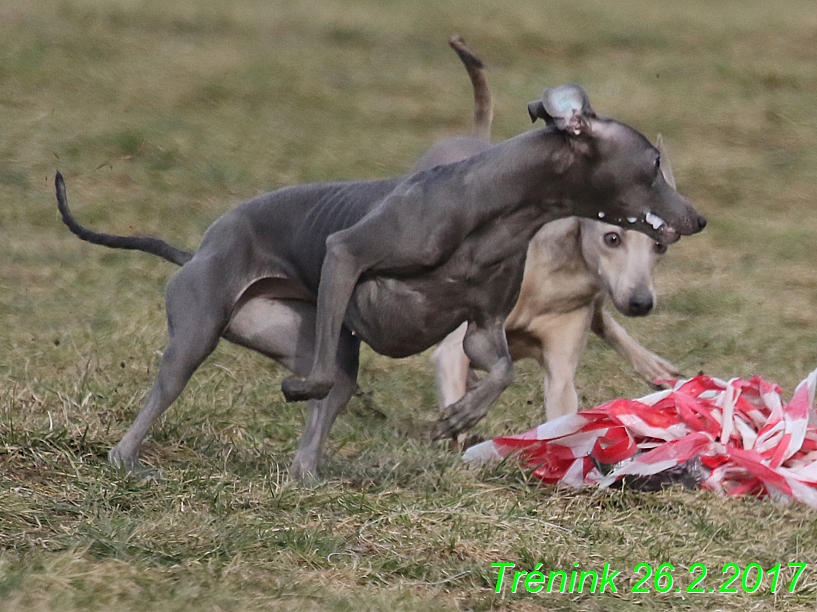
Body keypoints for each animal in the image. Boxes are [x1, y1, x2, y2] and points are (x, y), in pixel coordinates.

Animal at [57, 81, 704, 478]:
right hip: (198, 333)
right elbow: (318, 373)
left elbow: (500, 371)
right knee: (171, 393)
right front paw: (298, 388)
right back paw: (127, 459)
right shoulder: (345, 254)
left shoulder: (483, 329)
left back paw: (309, 476)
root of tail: (197, 249)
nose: (698, 220)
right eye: (652, 165)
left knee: (329, 404)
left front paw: (461, 417)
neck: (500, 208)